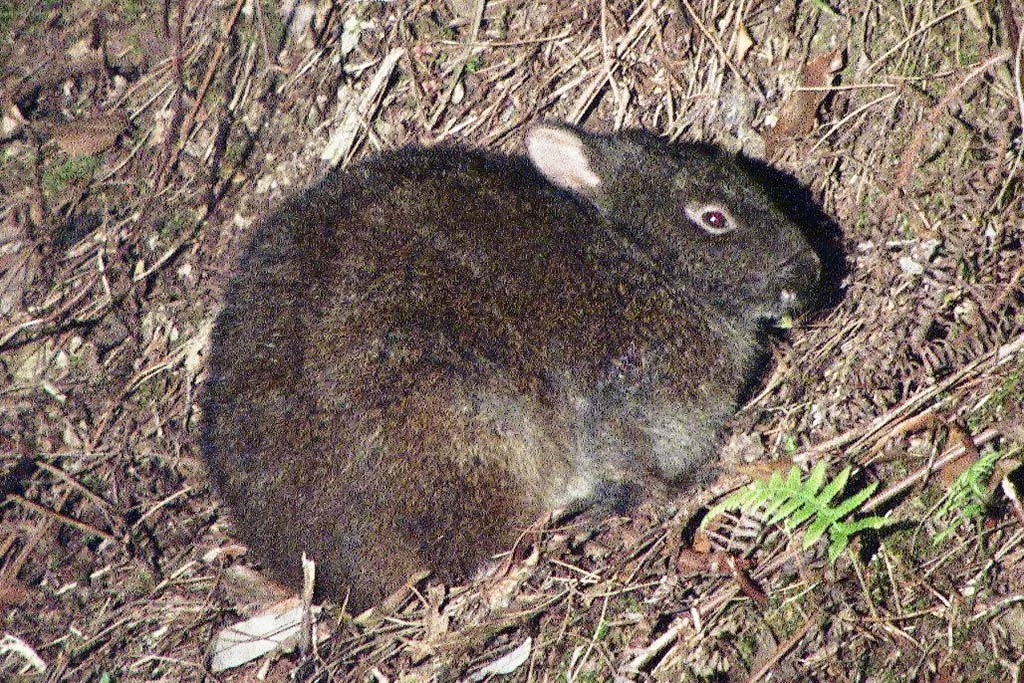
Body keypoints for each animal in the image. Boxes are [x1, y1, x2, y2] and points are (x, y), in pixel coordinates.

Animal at [197, 122, 823, 614]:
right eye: (713, 218)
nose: (811, 269)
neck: (641, 256)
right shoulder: (618, 398)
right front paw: (692, 481)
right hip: (466, 424)